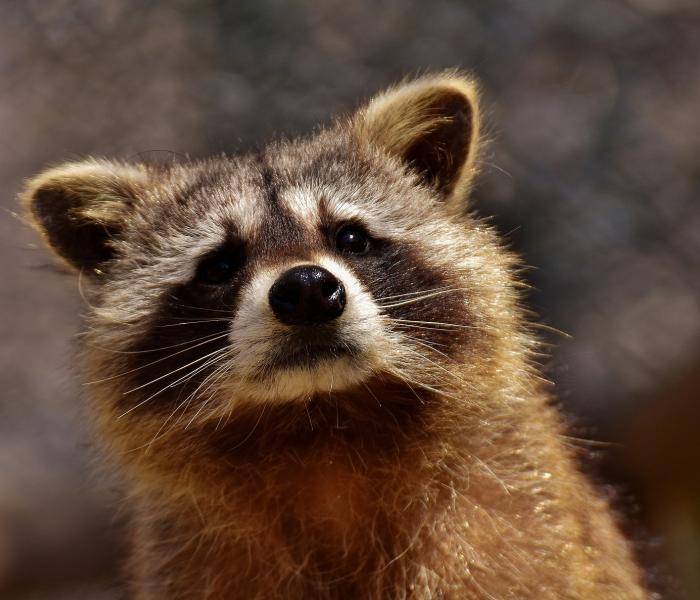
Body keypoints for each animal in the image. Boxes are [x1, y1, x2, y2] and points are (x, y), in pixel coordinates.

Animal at [23, 73, 646, 599]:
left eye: (350, 237)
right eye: (219, 266)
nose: (305, 289)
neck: (323, 429)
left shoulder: (510, 519)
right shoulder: (195, 559)